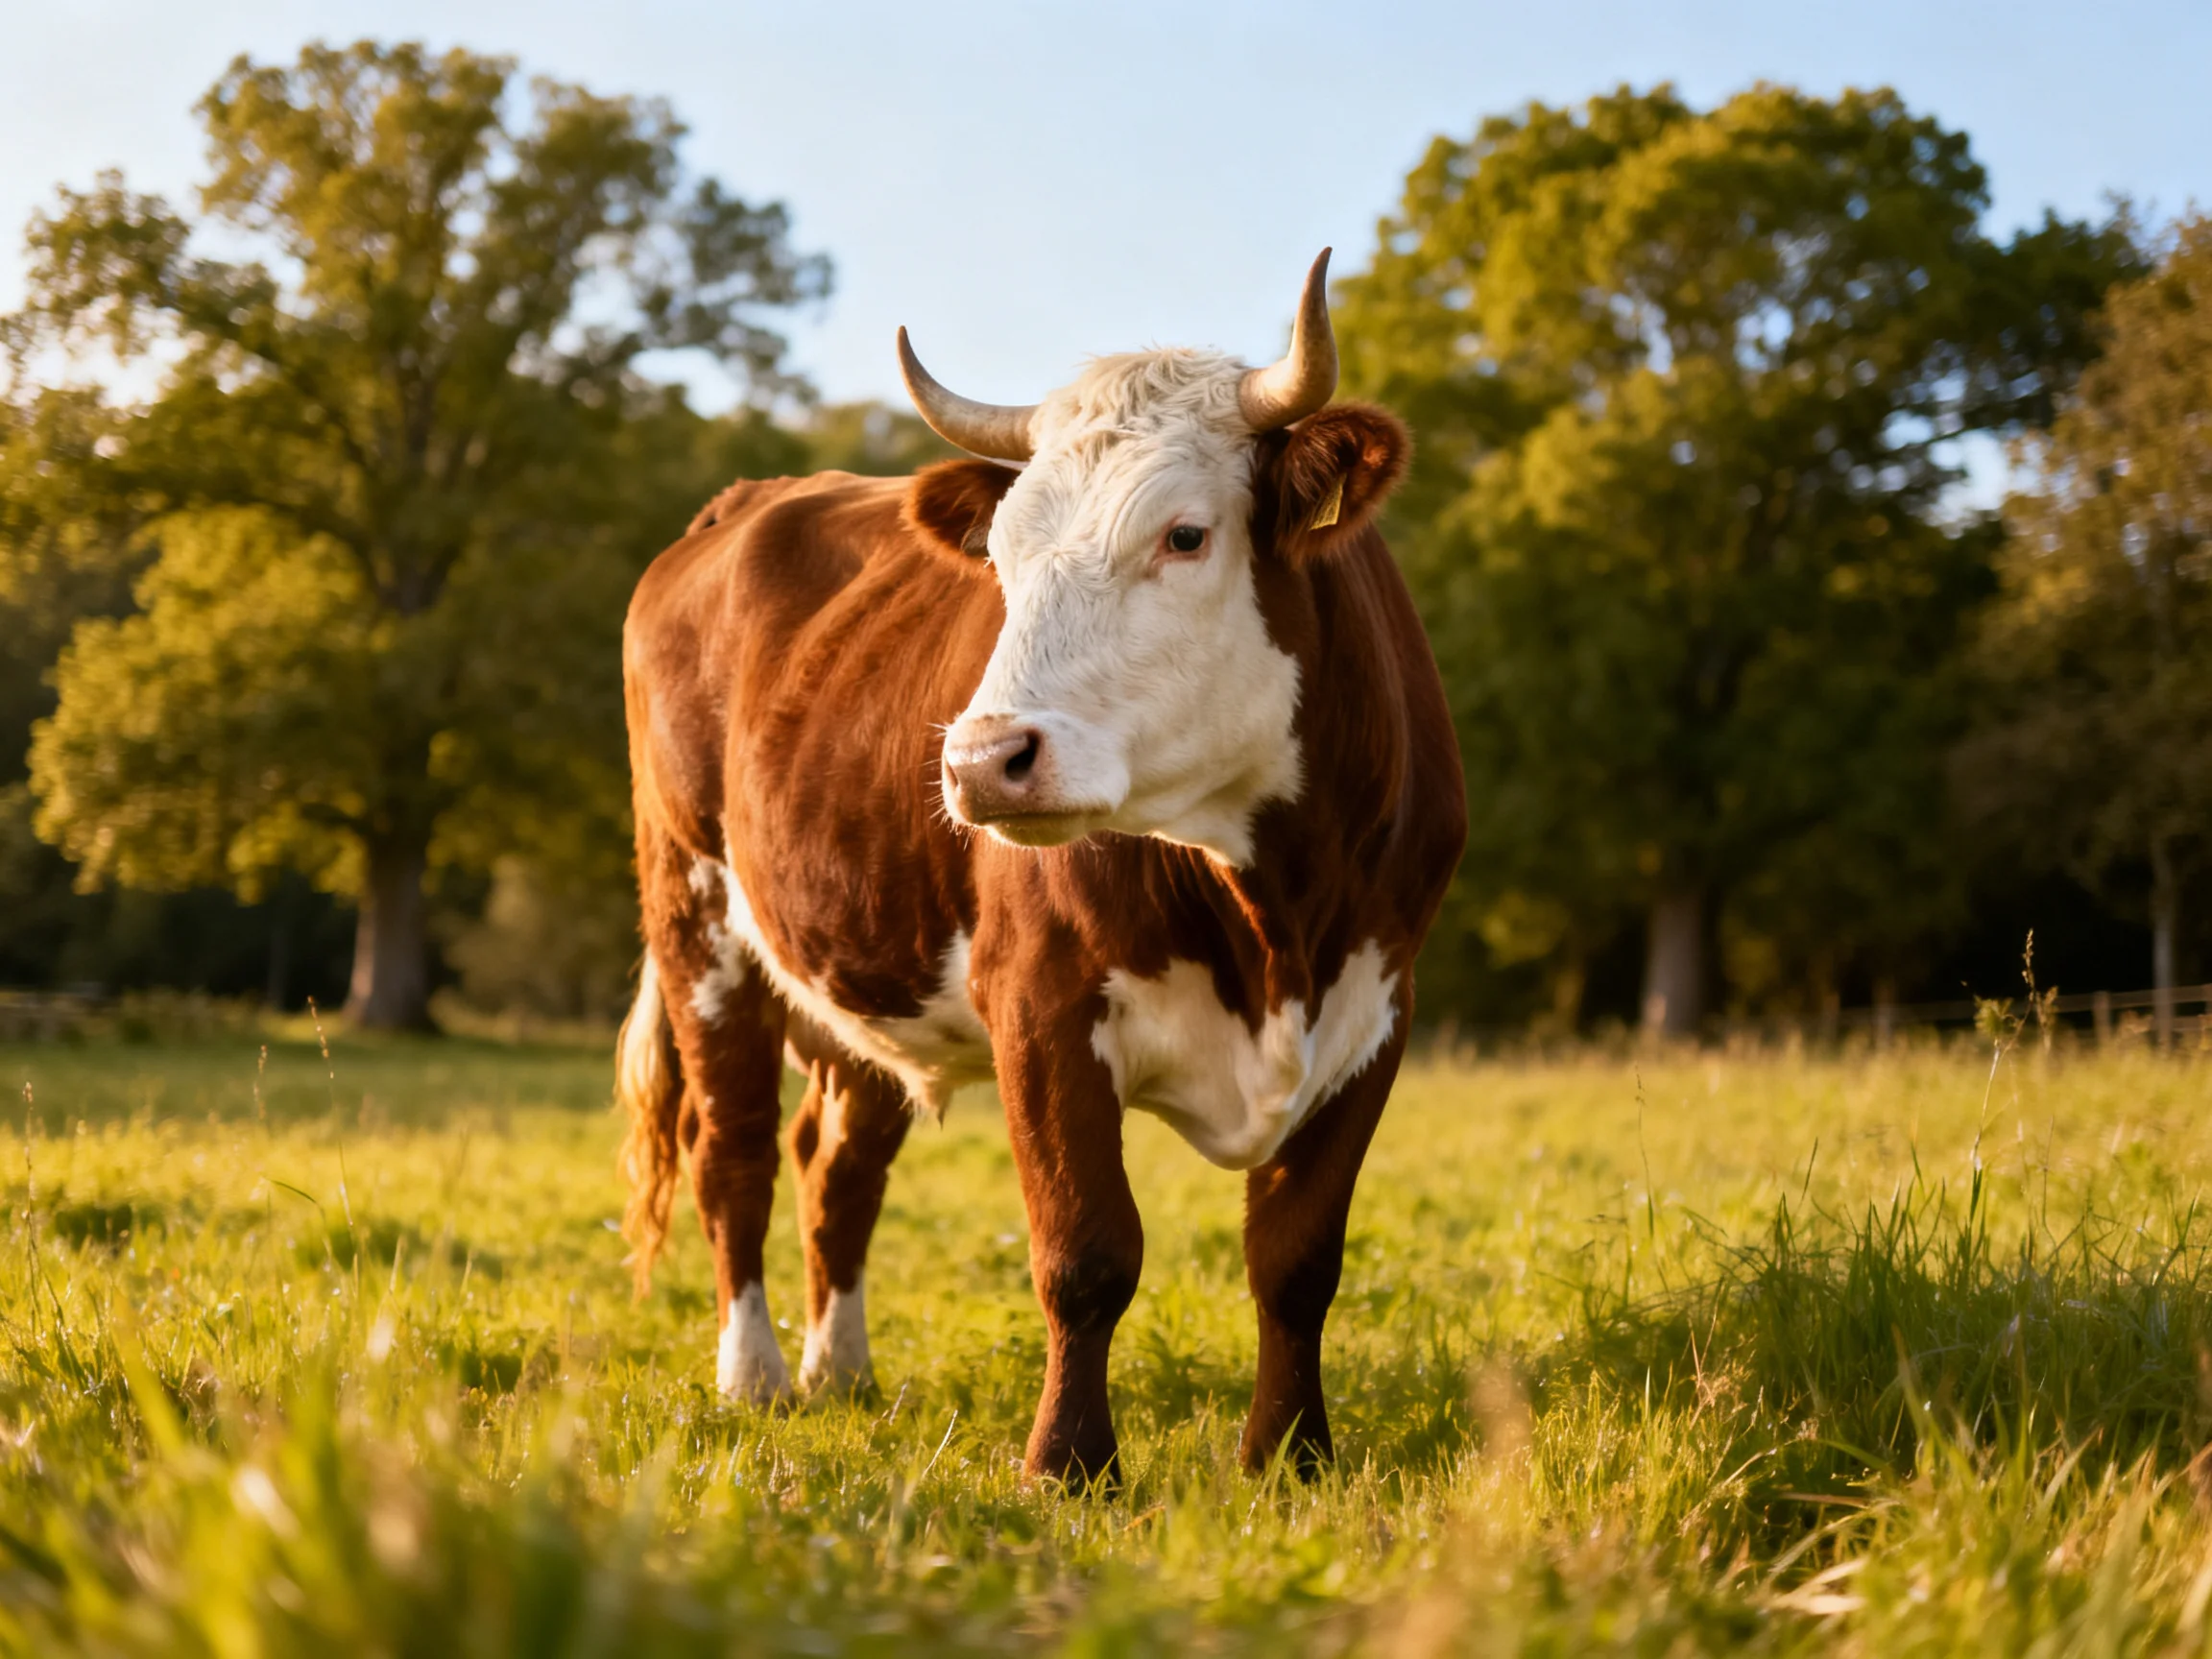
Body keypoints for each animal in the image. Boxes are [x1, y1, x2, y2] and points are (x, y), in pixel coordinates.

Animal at [616, 251, 1465, 1484]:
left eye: (1185, 535)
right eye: (1005, 560)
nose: (981, 759)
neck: (1275, 914)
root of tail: (749, 501)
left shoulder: (1375, 1009)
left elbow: (1299, 1259)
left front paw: (1289, 1455)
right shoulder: (1042, 1002)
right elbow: (1086, 1251)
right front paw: (1069, 1467)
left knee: (836, 1161)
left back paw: (841, 1373)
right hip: (697, 916)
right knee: (733, 1153)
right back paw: (756, 1378)